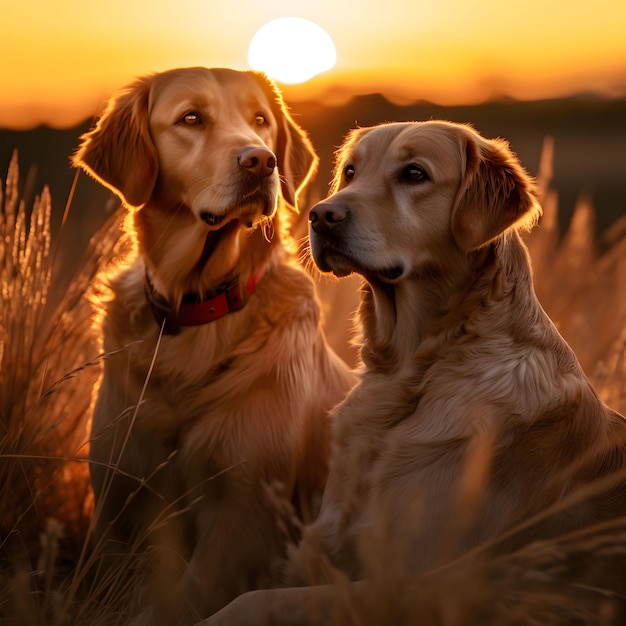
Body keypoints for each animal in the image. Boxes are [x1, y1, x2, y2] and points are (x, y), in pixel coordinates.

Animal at [71, 68, 354, 620]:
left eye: (261, 120)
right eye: (191, 118)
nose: (261, 161)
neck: (195, 311)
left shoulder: (245, 515)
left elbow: (181, 603)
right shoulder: (119, 499)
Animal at [202, 119, 624, 620]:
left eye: (415, 174)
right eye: (350, 172)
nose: (320, 216)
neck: (415, 372)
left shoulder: (427, 581)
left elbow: (252, 601)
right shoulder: (321, 545)